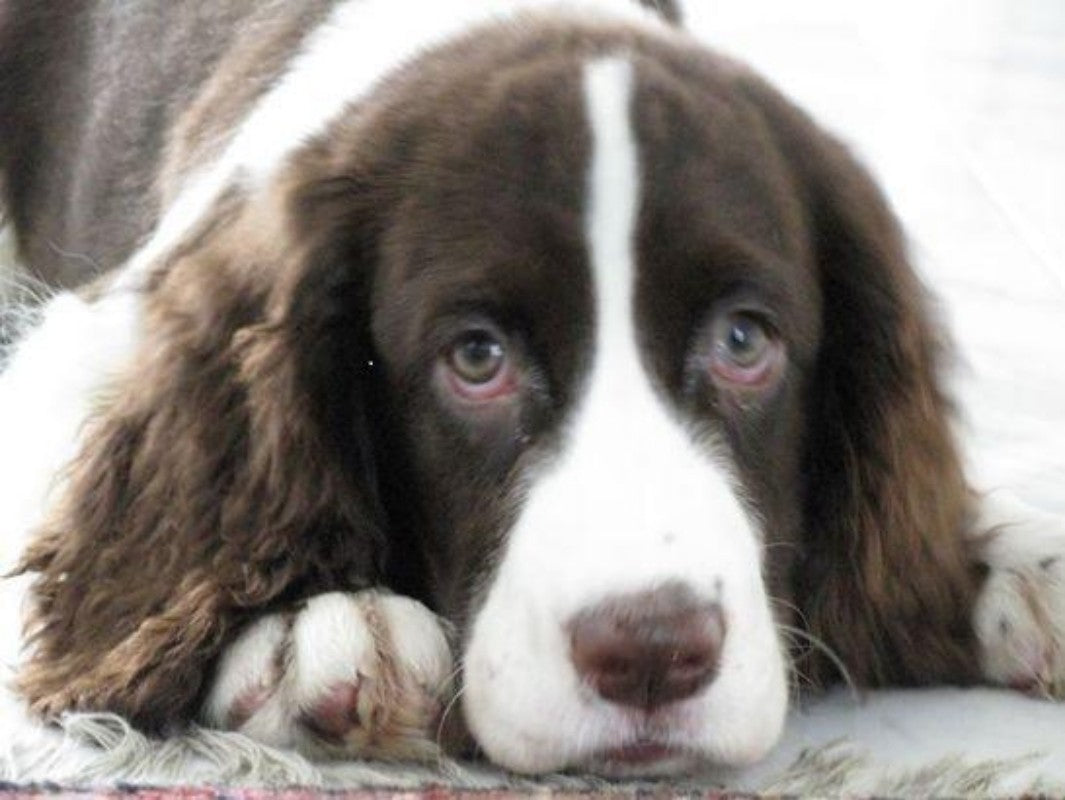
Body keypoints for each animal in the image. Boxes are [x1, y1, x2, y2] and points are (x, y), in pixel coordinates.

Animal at [2, 0, 1065, 784]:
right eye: (476, 357)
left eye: (744, 341)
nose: (651, 654)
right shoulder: (95, 337)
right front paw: (318, 616)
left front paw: (1004, 549)